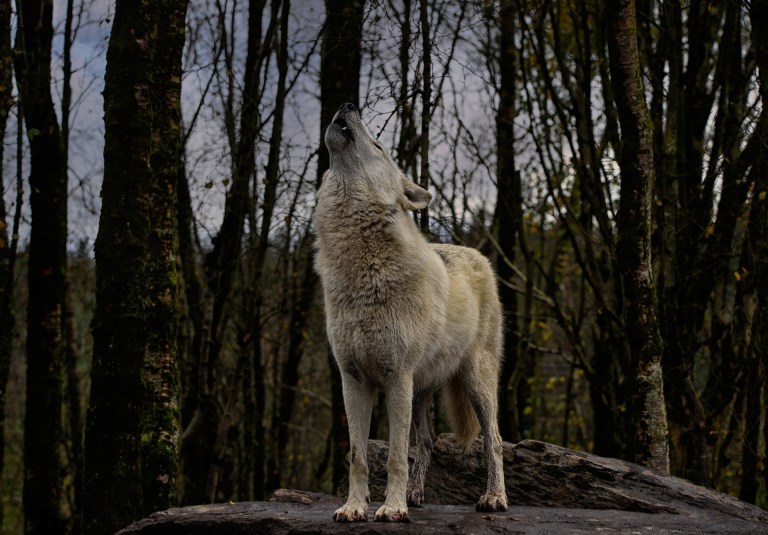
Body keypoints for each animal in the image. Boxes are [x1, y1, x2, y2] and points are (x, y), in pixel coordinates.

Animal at [314, 102, 508, 522]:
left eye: (378, 146)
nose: (348, 105)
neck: (363, 272)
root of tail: (477, 253)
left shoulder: (396, 377)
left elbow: (396, 457)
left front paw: (392, 508)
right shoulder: (353, 380)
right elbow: (358, 456)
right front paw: (354, 508)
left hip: (476, 383)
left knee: (495, 440)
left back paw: (494, 498)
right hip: (421, 391)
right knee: (428, 441)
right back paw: (417, 494)